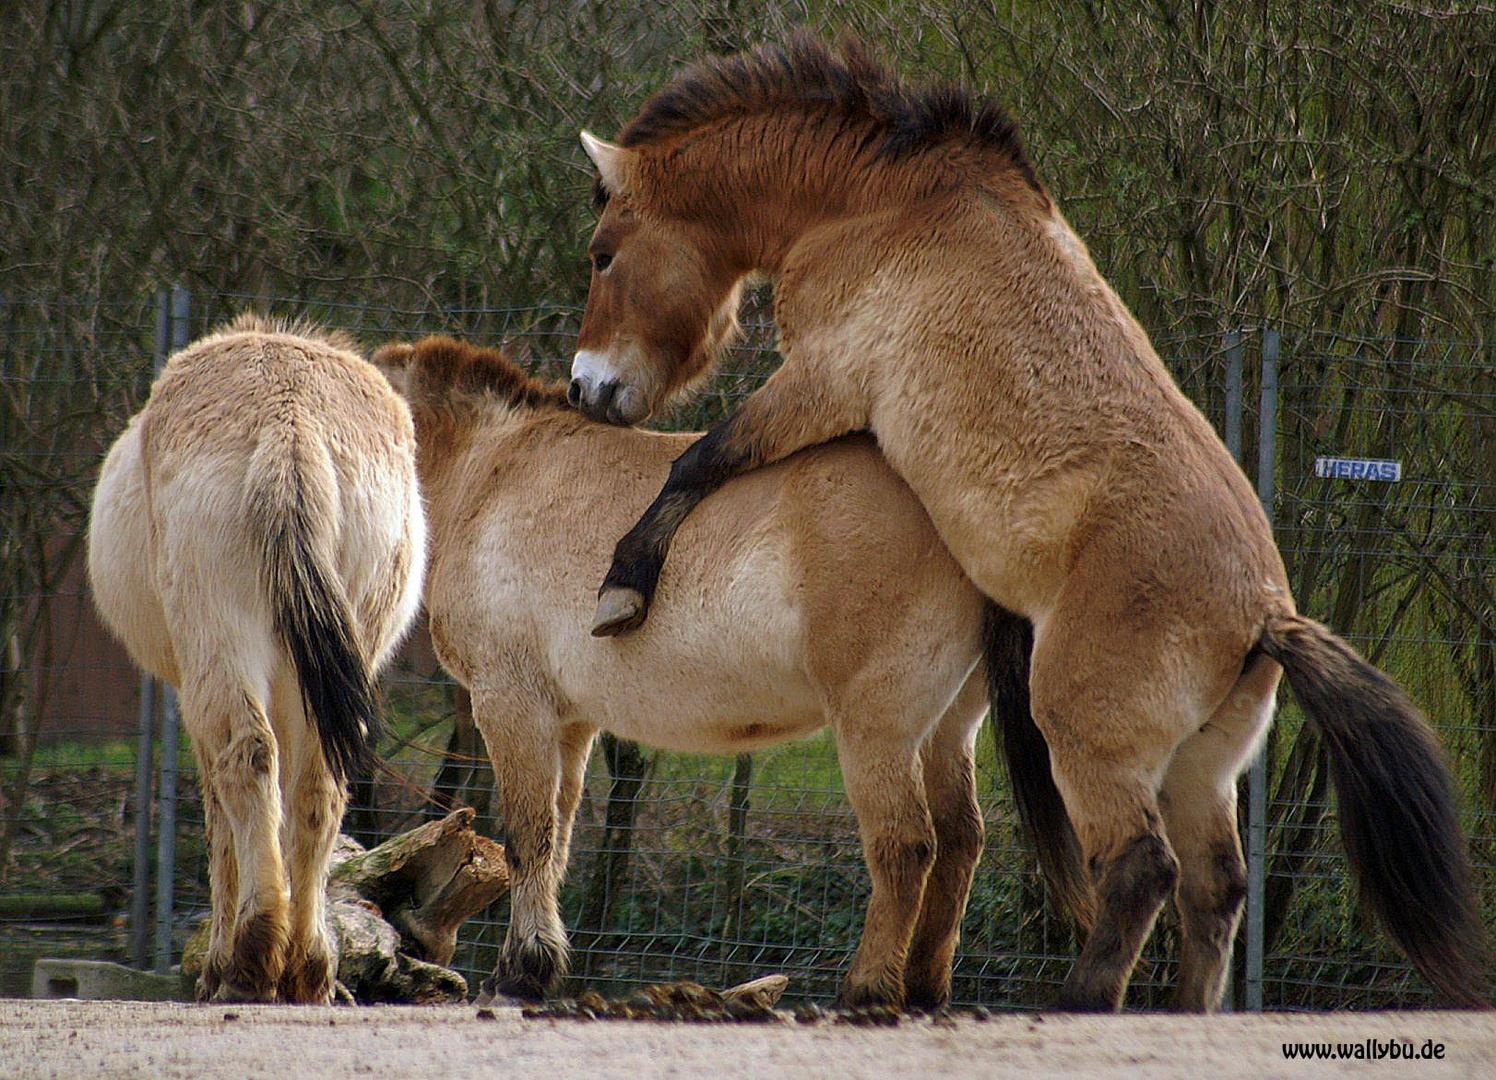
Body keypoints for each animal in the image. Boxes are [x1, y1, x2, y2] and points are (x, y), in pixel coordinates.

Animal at [90, 314, 424, 999]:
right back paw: (309, 967)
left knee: (246, 757)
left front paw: (218, 962)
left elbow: (220, 819)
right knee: (320, 781)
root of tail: (287, 419)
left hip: (219, 645)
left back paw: (248, 959)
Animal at [368, 336, 993, 1011]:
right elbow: (556, 838)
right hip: (948, 727)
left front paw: (518, 971)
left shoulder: (510, 703)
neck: (494, 469)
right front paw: (538, 966)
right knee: (960, 841)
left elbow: (527, 835)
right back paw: (925, 989)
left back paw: (867, 990)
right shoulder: (570, 721)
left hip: (878, 726)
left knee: (906, 845)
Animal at [565, 35, 1490, 1011]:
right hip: (1201, 771)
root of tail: (1264, 614)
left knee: (1140, 871)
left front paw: (624, 586)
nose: (585, 389)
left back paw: (1081, 1000)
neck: (877, 201)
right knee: (1214, 890)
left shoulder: (822, 380)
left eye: (602, 253)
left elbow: (701, 460)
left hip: (1088, 743)